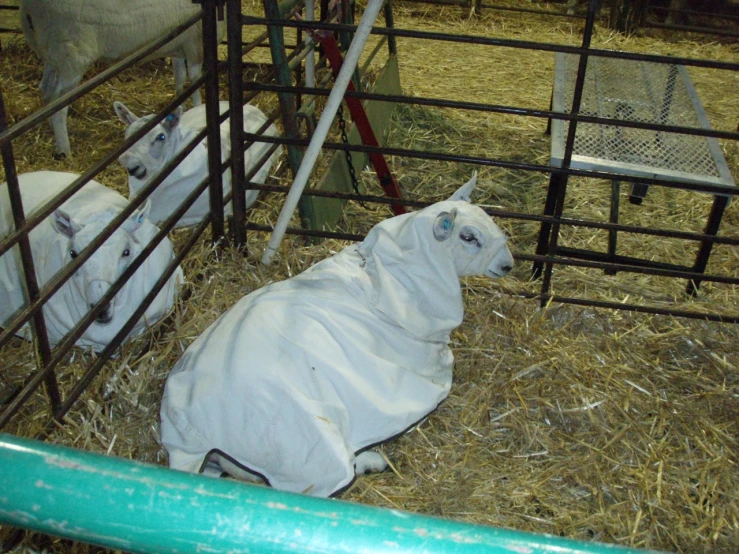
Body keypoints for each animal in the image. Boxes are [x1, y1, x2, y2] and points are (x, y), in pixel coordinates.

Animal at [20, 0, 225, 160]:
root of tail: (30, 7)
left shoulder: (179, 44)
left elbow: (180, 78)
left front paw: (181, 105)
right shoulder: (196, 44)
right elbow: (195, 79)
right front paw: (199, 109)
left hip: (52, 55)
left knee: (46, 91)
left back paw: (50, 127)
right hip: (71, 54)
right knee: (59, 105)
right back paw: (64, 149)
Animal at [162, 174, 516, 496]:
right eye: (469, 237)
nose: (509, 266)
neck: (388, 271)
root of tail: (190, 433)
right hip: (308, 444)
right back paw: (372, 460)